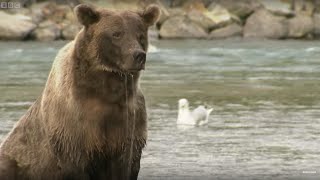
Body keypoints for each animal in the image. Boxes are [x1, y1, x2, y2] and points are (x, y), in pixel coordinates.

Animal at [0, 3, 160, 180]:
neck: (106, 89)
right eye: (117, 34)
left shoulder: (129, 120)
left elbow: (126, 162)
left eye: (140, 35)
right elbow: (76, 162)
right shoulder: (74, 124)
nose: (139, 55)